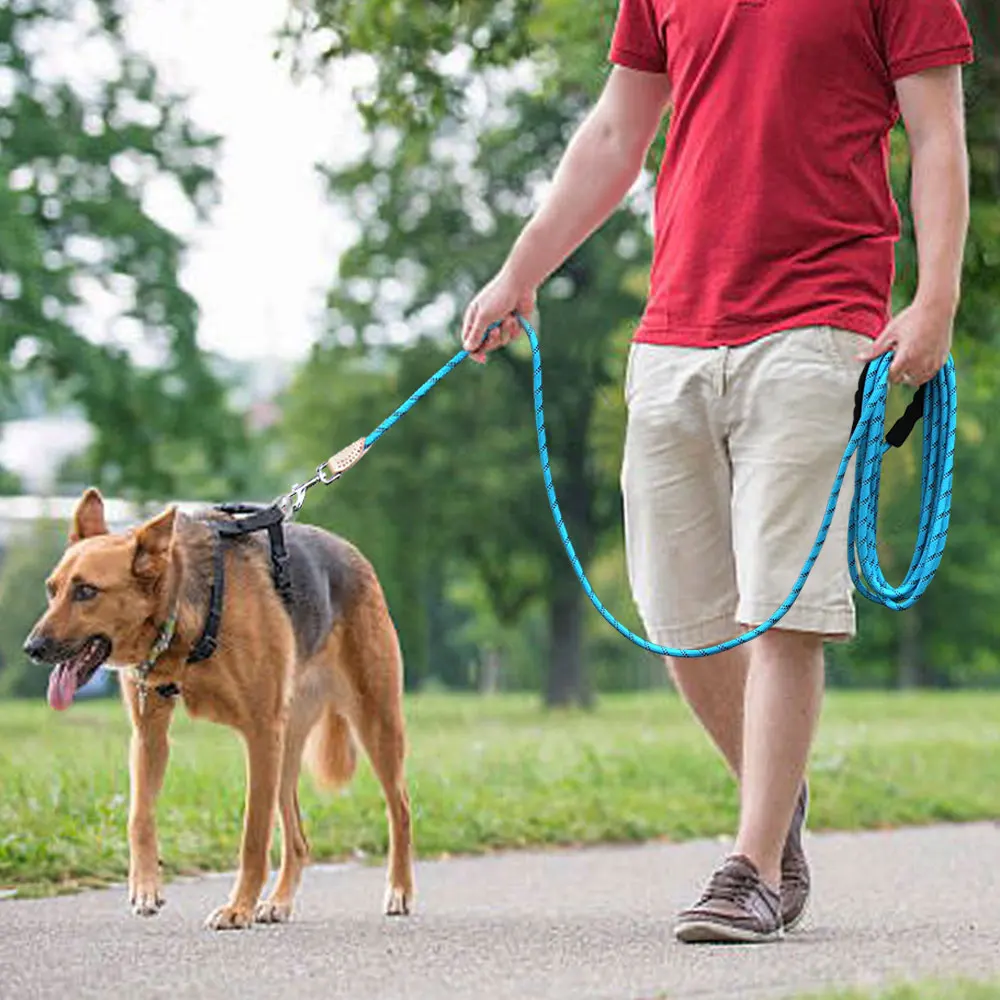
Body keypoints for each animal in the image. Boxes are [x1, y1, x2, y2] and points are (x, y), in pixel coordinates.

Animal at [23, 488, 414, 924]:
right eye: (52, 589)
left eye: (86, 591)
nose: (32, 648)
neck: (180, 607)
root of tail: (354, 554)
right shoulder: (149, 735)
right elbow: (139, 816)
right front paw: (145, 887)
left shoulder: (260, 733)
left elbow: (253, 836)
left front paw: (238, 907)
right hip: (284, 751)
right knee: (298, 839)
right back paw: (280, 901)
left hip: (373, 723)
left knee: (400, 809)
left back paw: (399, 891)